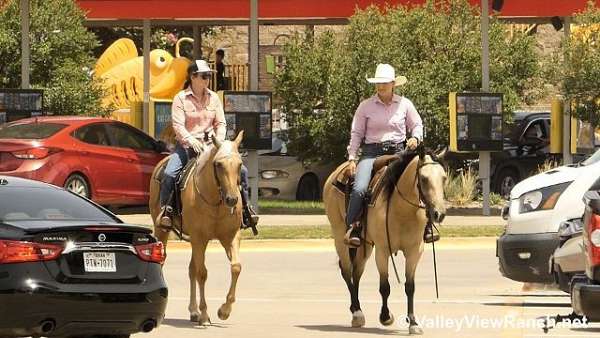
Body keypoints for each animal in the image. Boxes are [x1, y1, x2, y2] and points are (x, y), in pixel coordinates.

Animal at [149, 131, 245, 324]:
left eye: (239, 164)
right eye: (218, 164)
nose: (232, 199)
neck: (216, 202)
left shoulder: (230, 236)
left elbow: (236, 267)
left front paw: (224, 310)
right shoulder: (199, 237)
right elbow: (202, 273)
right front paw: (205, 313)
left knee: (191, 269)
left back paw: (193, 311)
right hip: (162, 229)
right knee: (163, 260)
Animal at [324, 147, 446, 334]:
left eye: (444, 178)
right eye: (424, 179)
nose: (439, 214)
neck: (402, 210)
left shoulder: (414, 251)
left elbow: (410, 287)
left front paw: (413, 323)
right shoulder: (382, 251)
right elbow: (385, 287)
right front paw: (386, 317)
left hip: (364, 245)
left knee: (356, 273)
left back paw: (356, 309)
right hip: (339, 236)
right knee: (347, 272)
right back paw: (357, 313)